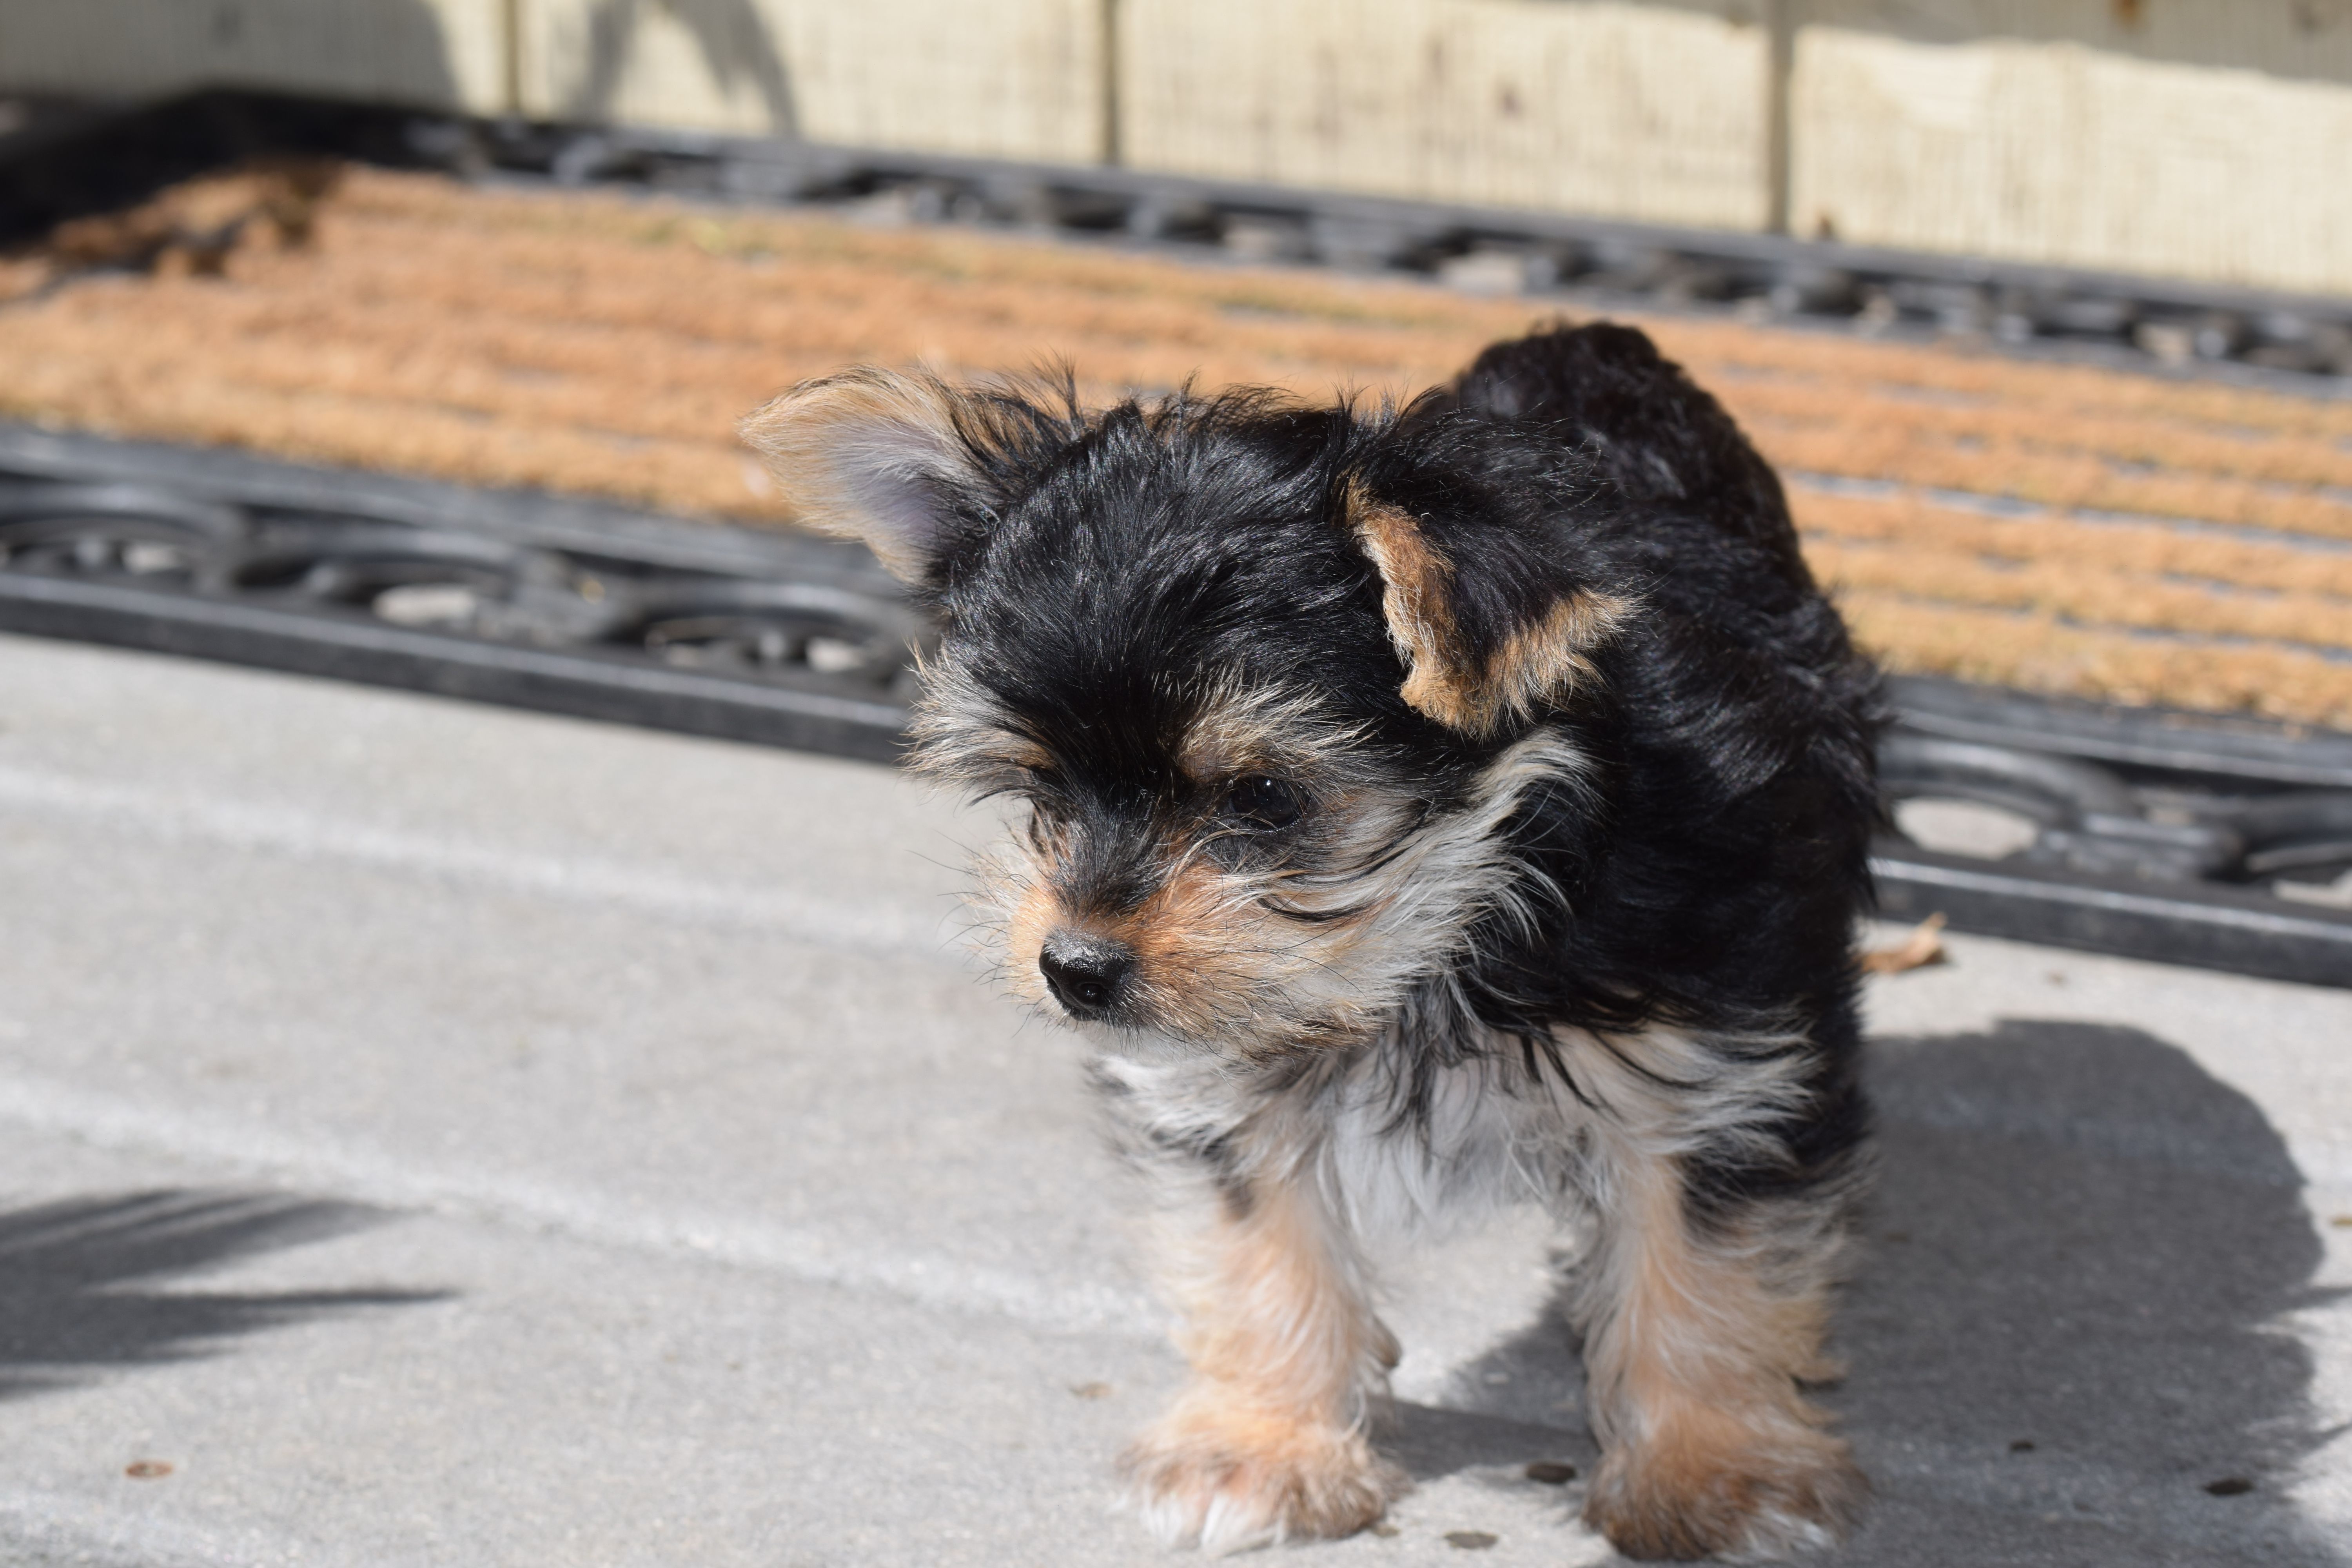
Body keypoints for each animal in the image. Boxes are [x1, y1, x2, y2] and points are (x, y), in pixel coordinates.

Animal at [741, 323, 1882, 1561]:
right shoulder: (1221, 1077)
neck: (1453, 921)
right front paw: (1261, 1447)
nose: (1076, 968)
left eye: (1263, 797)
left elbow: (1707, 1267)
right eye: (1043, 785)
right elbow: (1258, 1252)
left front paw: (1711, 1472)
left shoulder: (1719, 1062)